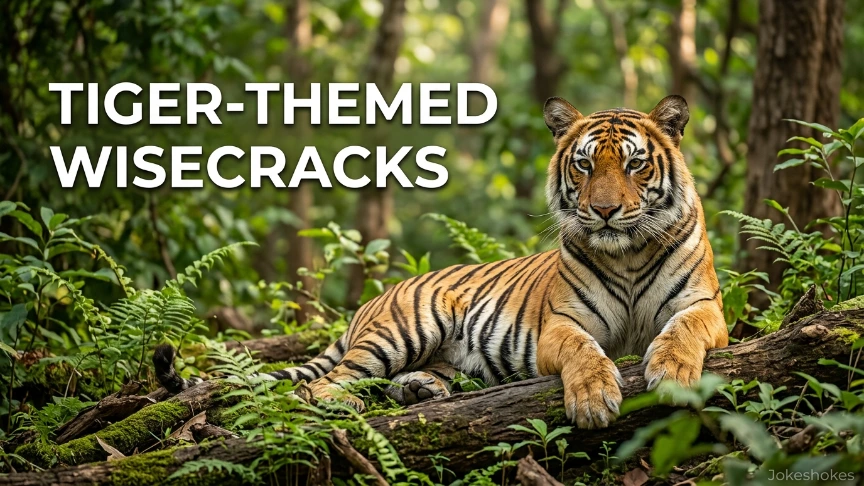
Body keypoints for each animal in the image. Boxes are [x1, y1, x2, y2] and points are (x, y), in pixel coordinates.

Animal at [154, 95, 728, 429]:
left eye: (635, 164)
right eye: (585, 165)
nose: (605, 211)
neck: (625, 253)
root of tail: (372, 301)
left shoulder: (706, 309)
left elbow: (682, 332)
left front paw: (673, 374)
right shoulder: (562, 325)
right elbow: (584, 352)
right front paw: (592, 399)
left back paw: (421, 387)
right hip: (406, 328)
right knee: (324, 383)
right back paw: (351, 402)